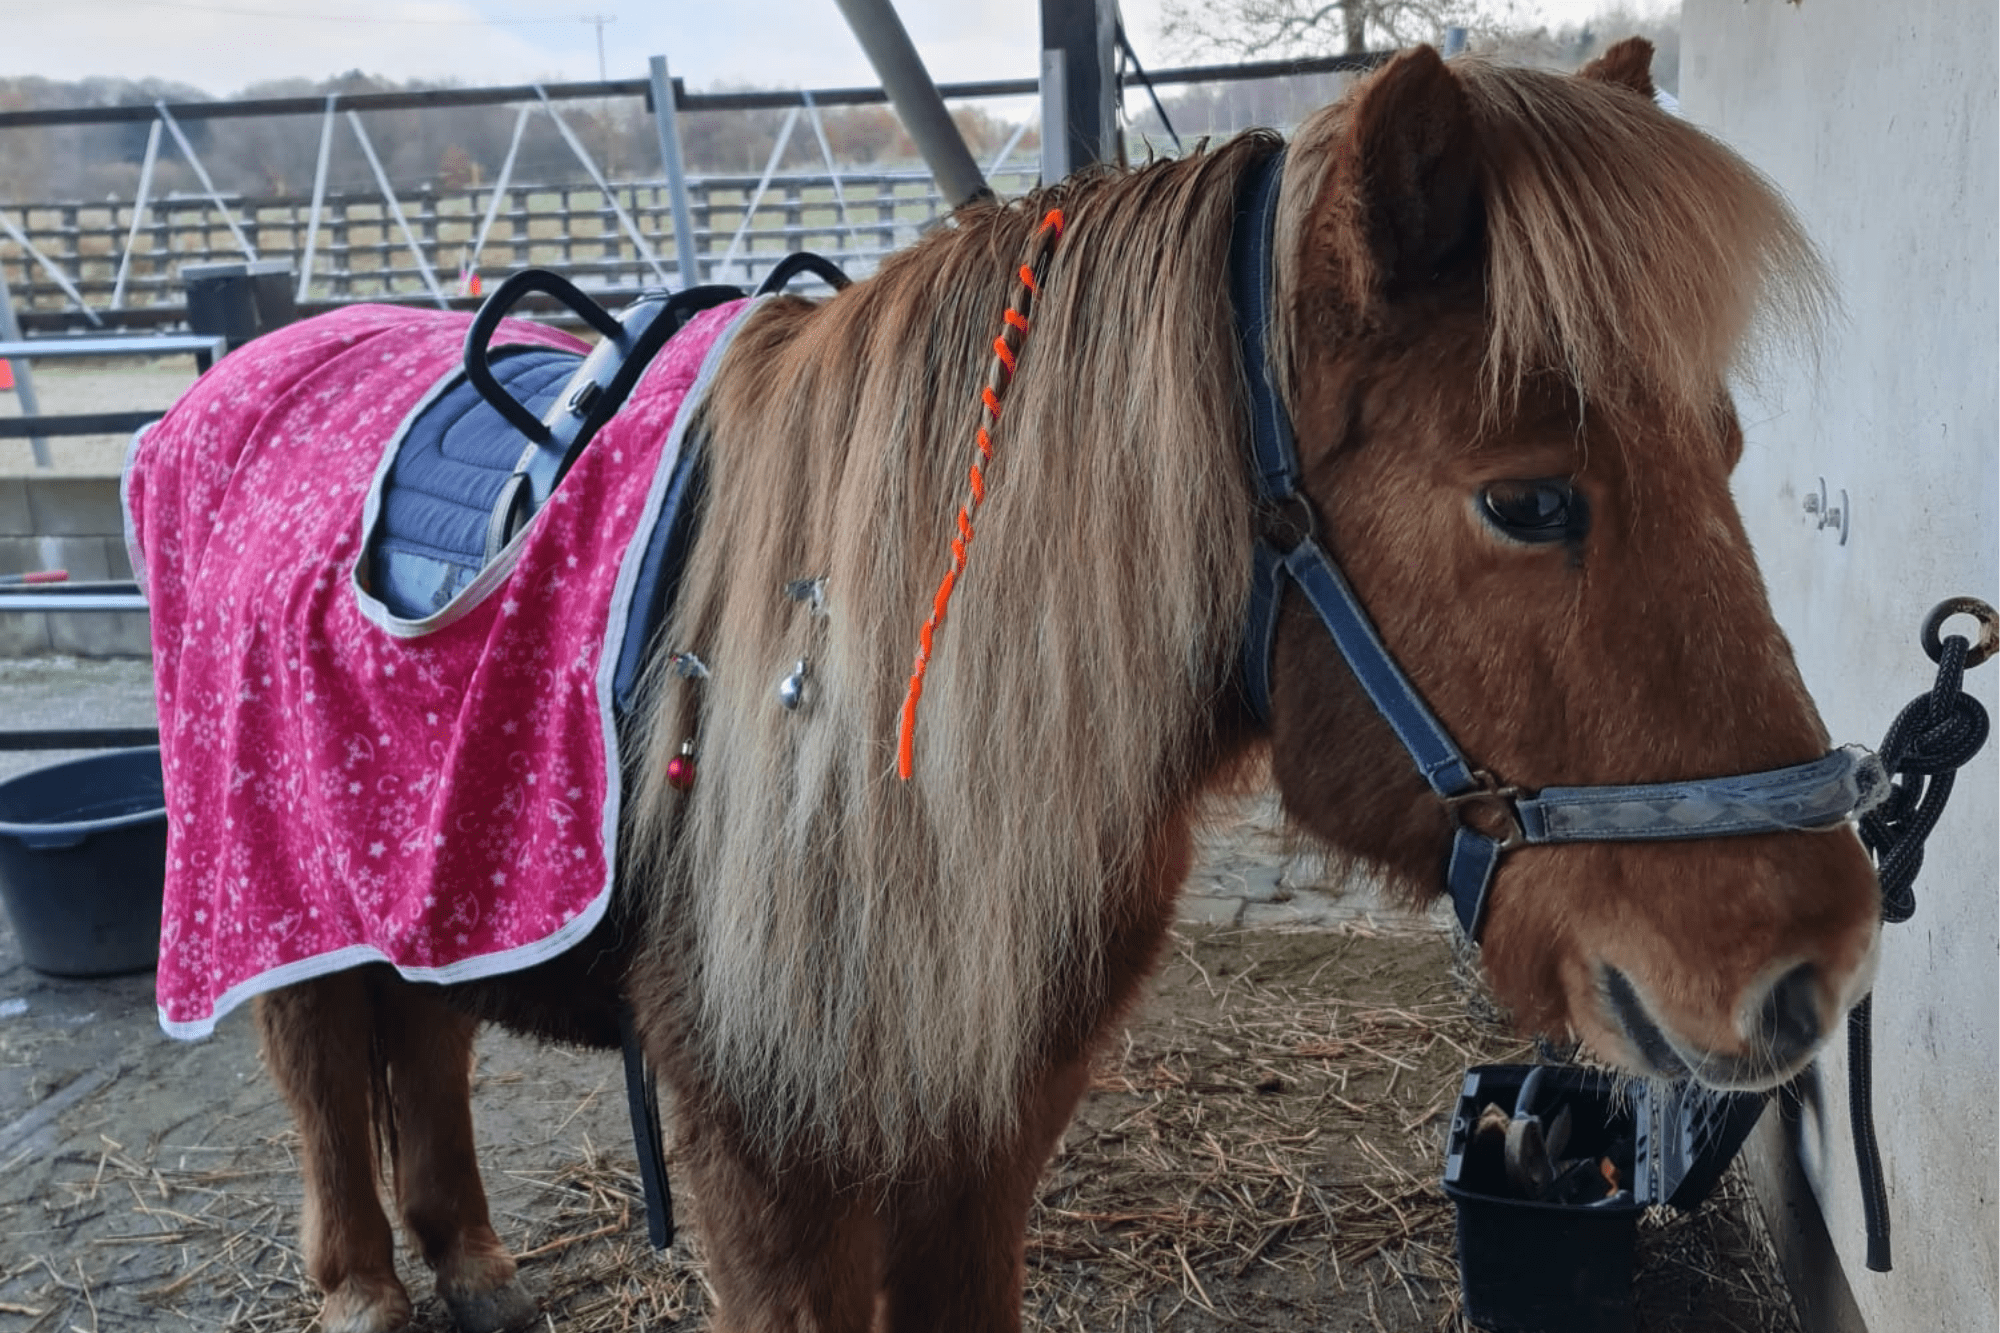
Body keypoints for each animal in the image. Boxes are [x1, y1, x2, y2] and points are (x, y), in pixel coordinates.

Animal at [160, 41, 1888, 1328]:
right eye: (1527, 500)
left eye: (1728, 456)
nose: (1816, 964)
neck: (882, 728)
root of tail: (242, 370)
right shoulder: (758, 1158)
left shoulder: (985, 1123)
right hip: (272, 877)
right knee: (321, 1055)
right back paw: (367, 1285)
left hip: (412, 883)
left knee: (422, 1037)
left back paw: (470, 1260)